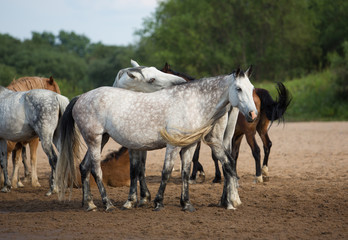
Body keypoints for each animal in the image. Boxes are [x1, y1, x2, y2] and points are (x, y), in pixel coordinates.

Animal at [57, 66, 256, 212]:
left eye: (252, 89)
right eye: (238, 88)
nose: (253, 114)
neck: (193, 103)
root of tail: (81, 97)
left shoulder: (189, 146)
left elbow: (185, 172)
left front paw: (187, 204)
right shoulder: (172, 146)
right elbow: (165, 171)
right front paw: (158, 202)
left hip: (101, 139)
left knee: (84, 166)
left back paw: (90, 204)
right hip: (94, 139)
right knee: (96, 169)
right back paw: (107, 204)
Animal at [162, 62, 292, 183]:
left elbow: (197, 155)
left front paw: (201, 175)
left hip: (249, 133)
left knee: (256, 150)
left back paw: (258, 176)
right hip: (258, 130)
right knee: (267, 145)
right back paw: (264, 172)